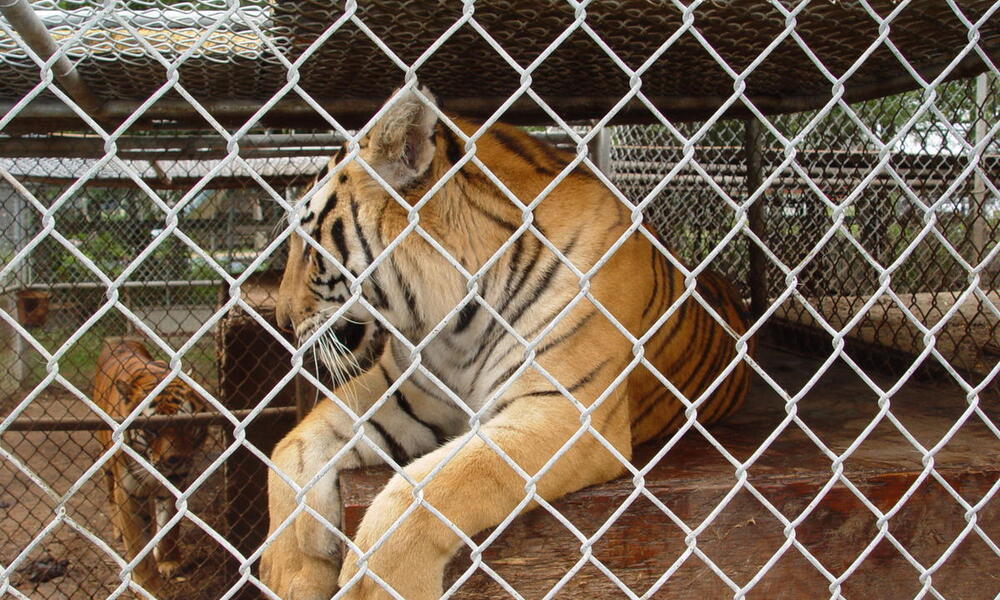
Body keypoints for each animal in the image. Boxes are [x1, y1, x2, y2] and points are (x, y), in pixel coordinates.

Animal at [94, 338, 210, 596]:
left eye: (186, 425)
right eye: (152, 429)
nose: (174, 460)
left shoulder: (177, 485)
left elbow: (169, 528)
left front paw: (168, 562)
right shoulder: (128, 492)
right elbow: (138, 544)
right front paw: (149, 588)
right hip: (106, 458)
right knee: (109, 492)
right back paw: (116, 529)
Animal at [262, 86, 752, 596]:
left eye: (310, 246)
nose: (281, 319)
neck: (453, 326)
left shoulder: (565, 410)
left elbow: (432, 488)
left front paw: (375, 587)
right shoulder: (407, 393)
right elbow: (292, 447)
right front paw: (287, 574)